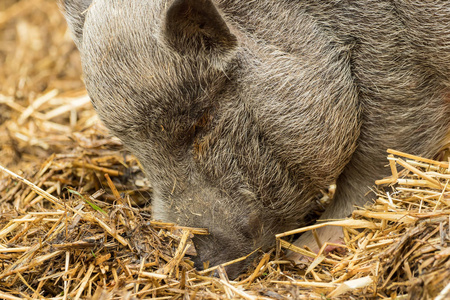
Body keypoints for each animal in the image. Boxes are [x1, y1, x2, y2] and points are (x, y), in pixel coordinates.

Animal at [62, 0, 450, 276]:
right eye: (135, 147)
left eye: (200, 121)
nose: (202, 263)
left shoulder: (403, 73)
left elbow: (378, 159)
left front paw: (304, 252)